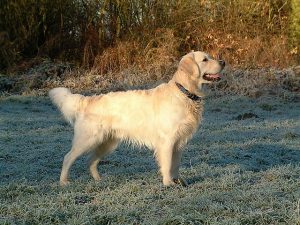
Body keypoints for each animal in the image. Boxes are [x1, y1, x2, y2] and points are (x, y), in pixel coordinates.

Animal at [49, 51, 224, 186]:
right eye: (205, 59)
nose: (223, 62)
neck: (184, 92)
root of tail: (87, 100)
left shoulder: (179, 142)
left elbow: (175, 165)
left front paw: (178, 182)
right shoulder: (167, 141)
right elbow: (167, 164)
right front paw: (168, 183)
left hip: (108, 143)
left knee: (91, 161)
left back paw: (98, 179)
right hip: (88, 139)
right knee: (68, 157)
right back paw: (63, 182)